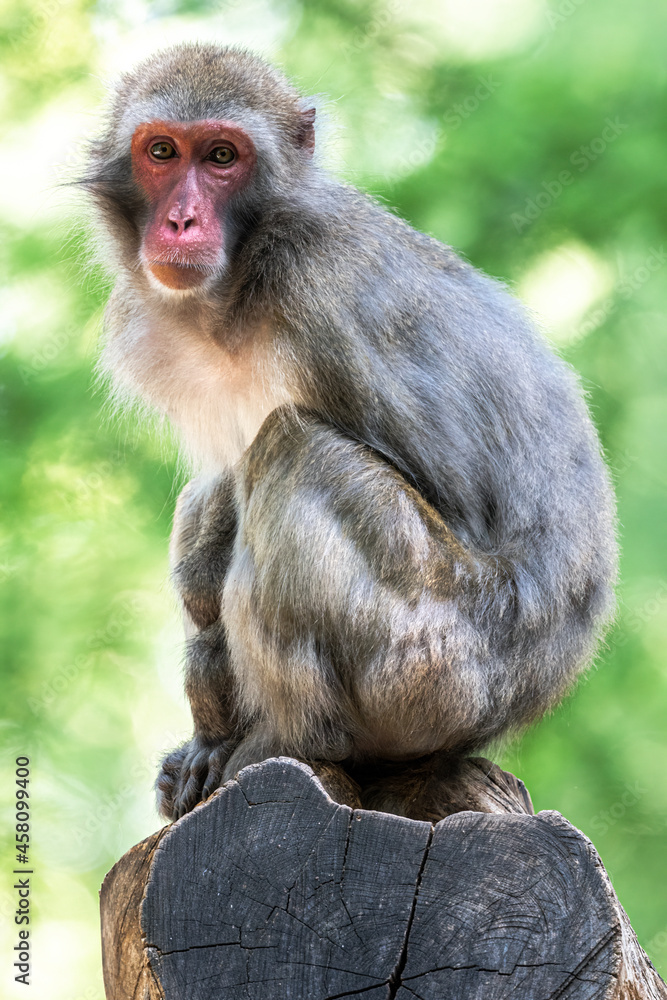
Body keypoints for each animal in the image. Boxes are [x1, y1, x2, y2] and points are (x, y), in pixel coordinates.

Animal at [80, 43, 617, 823]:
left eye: (221, 156)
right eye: (161, 151)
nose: (180, 221)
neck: (240, 284)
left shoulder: (321, 283)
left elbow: (454, 499)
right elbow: (212, 488)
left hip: (430, 663)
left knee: (291, 451)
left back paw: (288, 740)